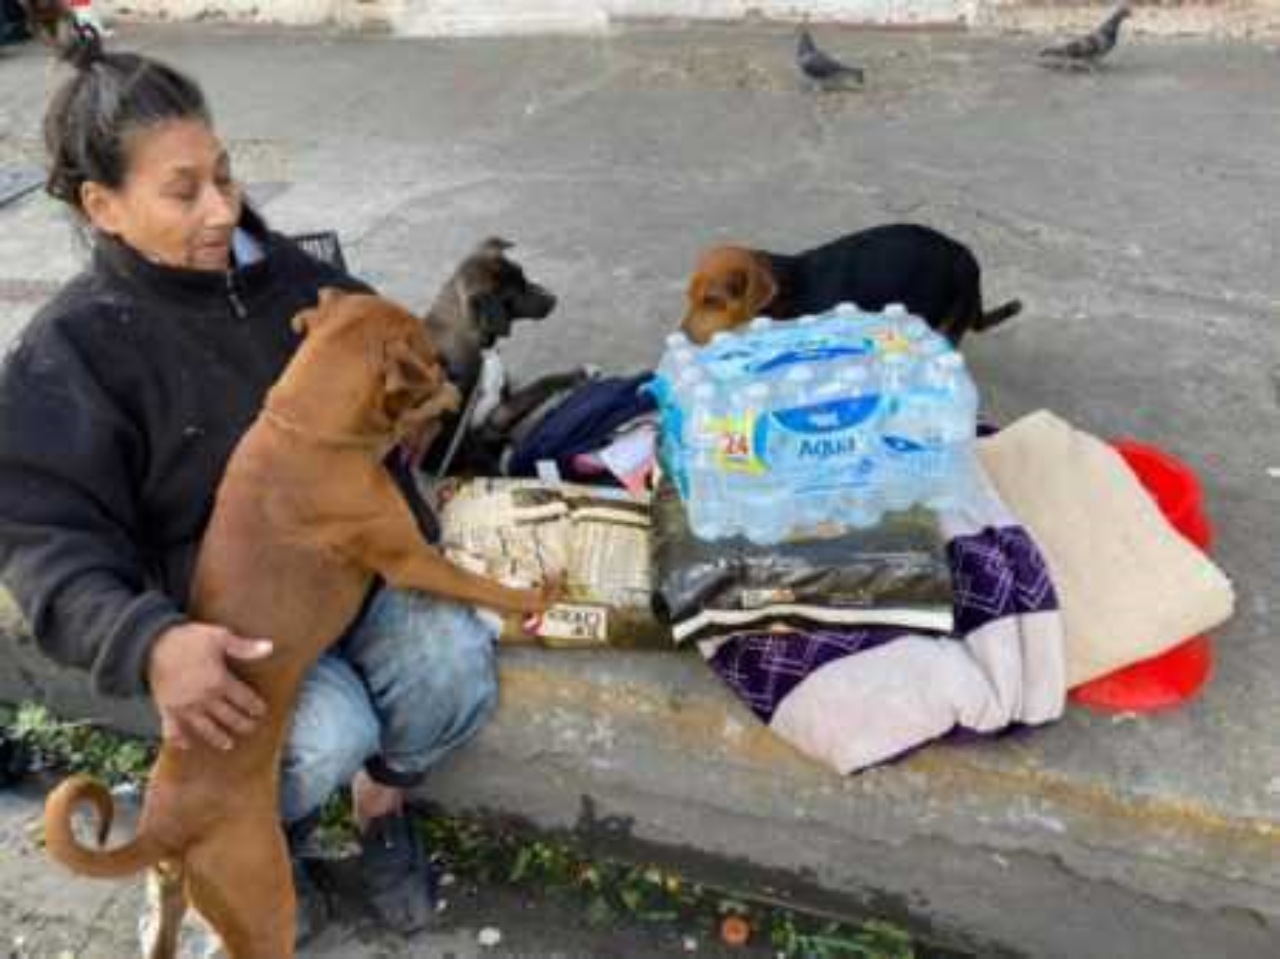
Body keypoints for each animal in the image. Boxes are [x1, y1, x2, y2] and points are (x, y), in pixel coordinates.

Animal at [42, 289, 552, 957]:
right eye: (425, 349)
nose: (454, 367)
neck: (310, 434)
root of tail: (167, 826)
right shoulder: (411, 558)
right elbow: (481, 583)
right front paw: (533, 593)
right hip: (262, 905)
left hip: (183, 896)